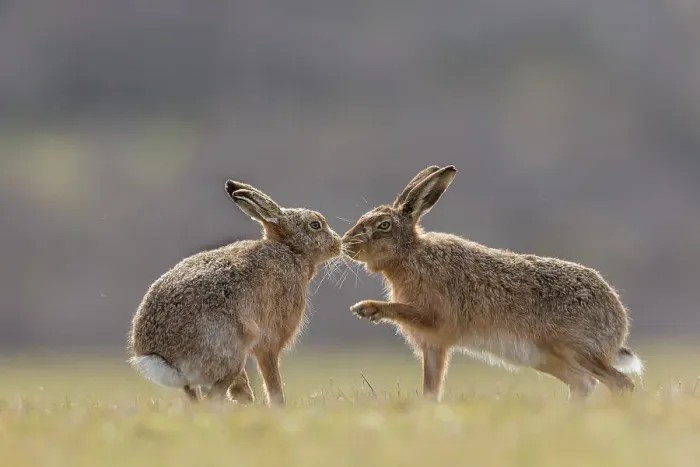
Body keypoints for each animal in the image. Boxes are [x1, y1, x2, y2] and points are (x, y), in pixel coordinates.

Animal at [129, 180, 342, 406]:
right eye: (315, 224)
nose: (338, 243)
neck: (291, 250)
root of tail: (162, 358)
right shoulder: (271, 339)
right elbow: (272, 377)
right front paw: (279, 405)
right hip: (230, 355)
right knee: (213, 396)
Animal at [342, 165, 643, 401]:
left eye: (383, 226)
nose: (346, 244)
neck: (410, 255)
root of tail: (619, 321)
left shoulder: (433, 317)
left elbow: (404, 310)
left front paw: (367, 308)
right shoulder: (433, 345)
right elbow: (431, 388)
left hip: (576, 349)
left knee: (621, 383)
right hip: (548, 358)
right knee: (584, 384)